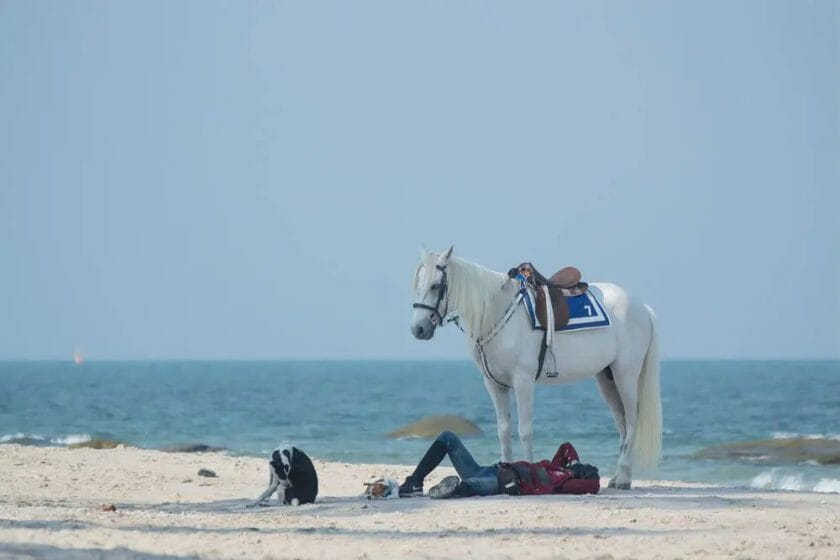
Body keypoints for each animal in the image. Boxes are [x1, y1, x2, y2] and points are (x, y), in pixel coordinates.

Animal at [410, 246, 661, 489]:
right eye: (418, 285)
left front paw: (528, 471)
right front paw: (505, 468)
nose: (418, 329)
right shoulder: (494, 385)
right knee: (622, 424)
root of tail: (643, 308)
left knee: (632, 421)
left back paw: (625, 478)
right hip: (606, 378)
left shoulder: (523, 381)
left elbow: (525, 431)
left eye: (435, 286)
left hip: (625, 375)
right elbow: (504, 430)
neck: (496, 312)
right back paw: (618, 476)